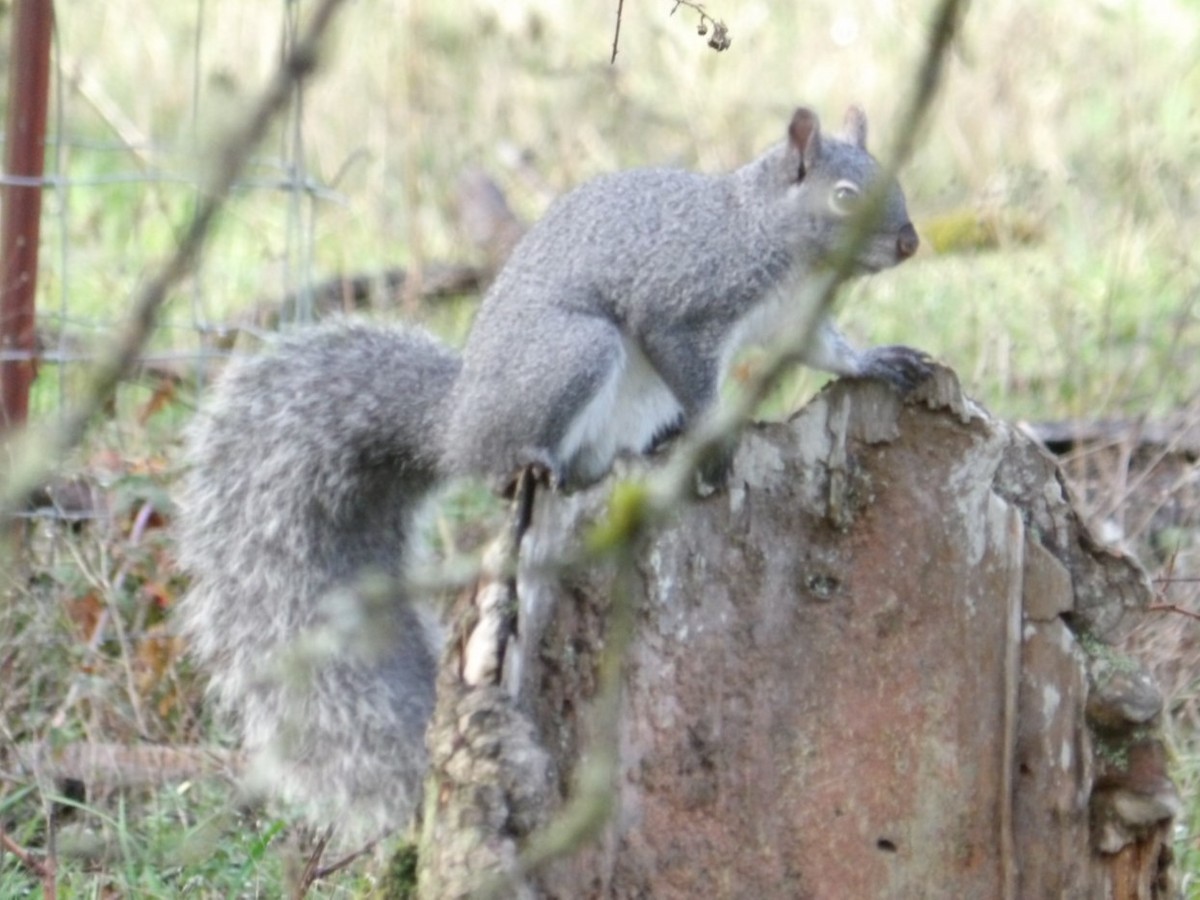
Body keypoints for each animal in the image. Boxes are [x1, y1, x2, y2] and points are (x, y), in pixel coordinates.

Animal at [177, 105, 930, 836]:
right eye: (845, 195)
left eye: (895, 182)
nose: (910, 243)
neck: (775, 239)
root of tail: (456, 427)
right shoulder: (685, 304)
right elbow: (685, 361)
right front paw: (716, 436)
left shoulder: (795, 322)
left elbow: (827, 354)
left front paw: (878, 361)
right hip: (573, 353)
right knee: (502, 463)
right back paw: (539, 459)